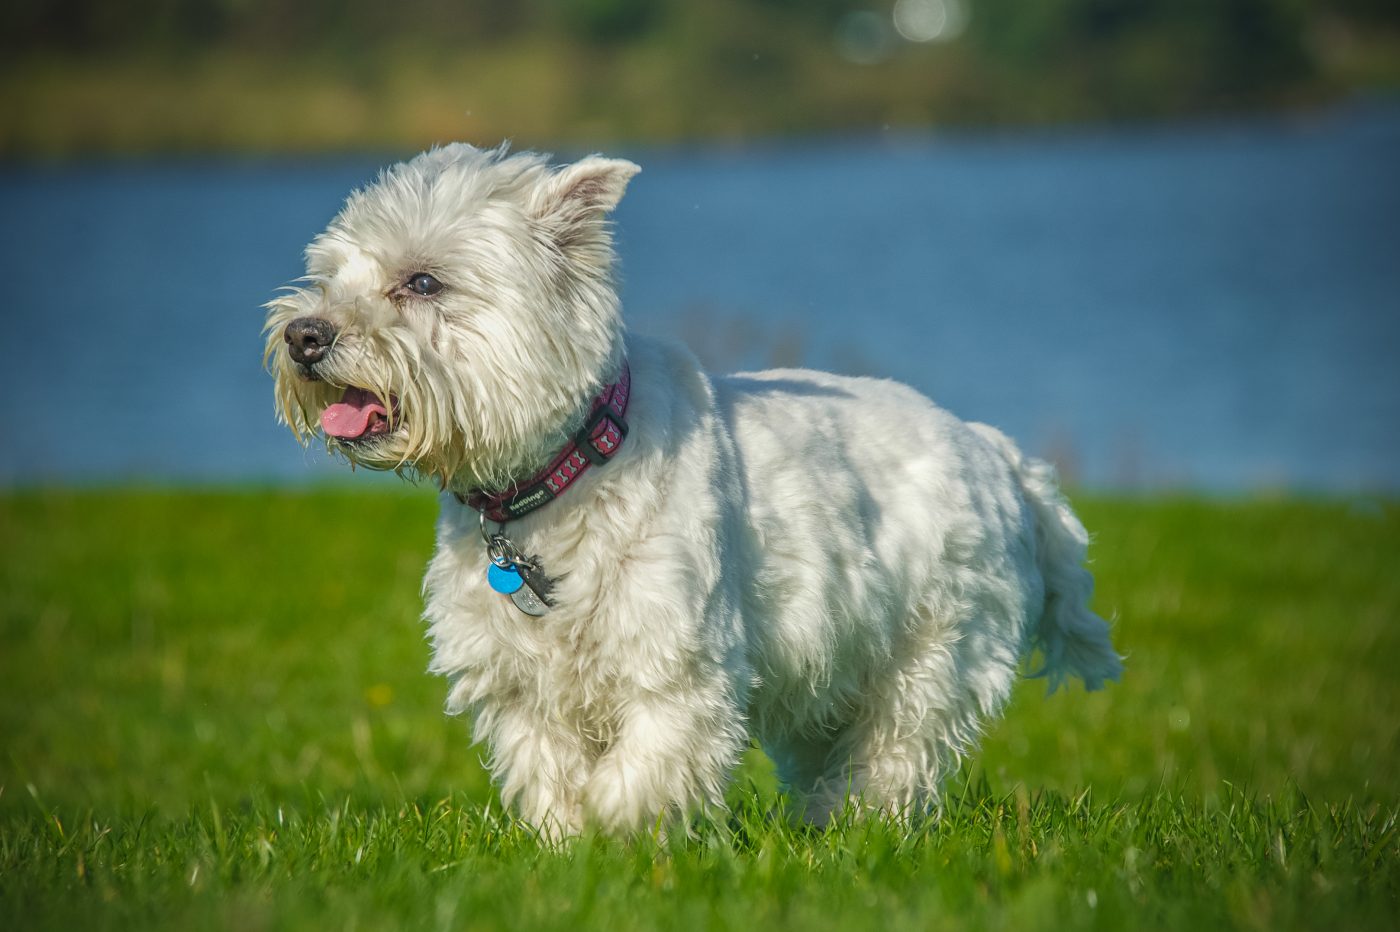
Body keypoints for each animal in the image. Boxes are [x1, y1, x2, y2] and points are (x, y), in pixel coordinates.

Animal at [267, 145, 1125, 834]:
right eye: (327, 278)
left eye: (423, 281)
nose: (303, 335)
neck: (562, 479)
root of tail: (997, 452)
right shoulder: (520, 684)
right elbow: (549, 772)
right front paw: (564, 845)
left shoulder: (677, 662)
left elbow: (644, 769)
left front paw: (621, 836)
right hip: (837, 665)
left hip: (933, 648)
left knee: (895, 750)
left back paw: (853, 824)